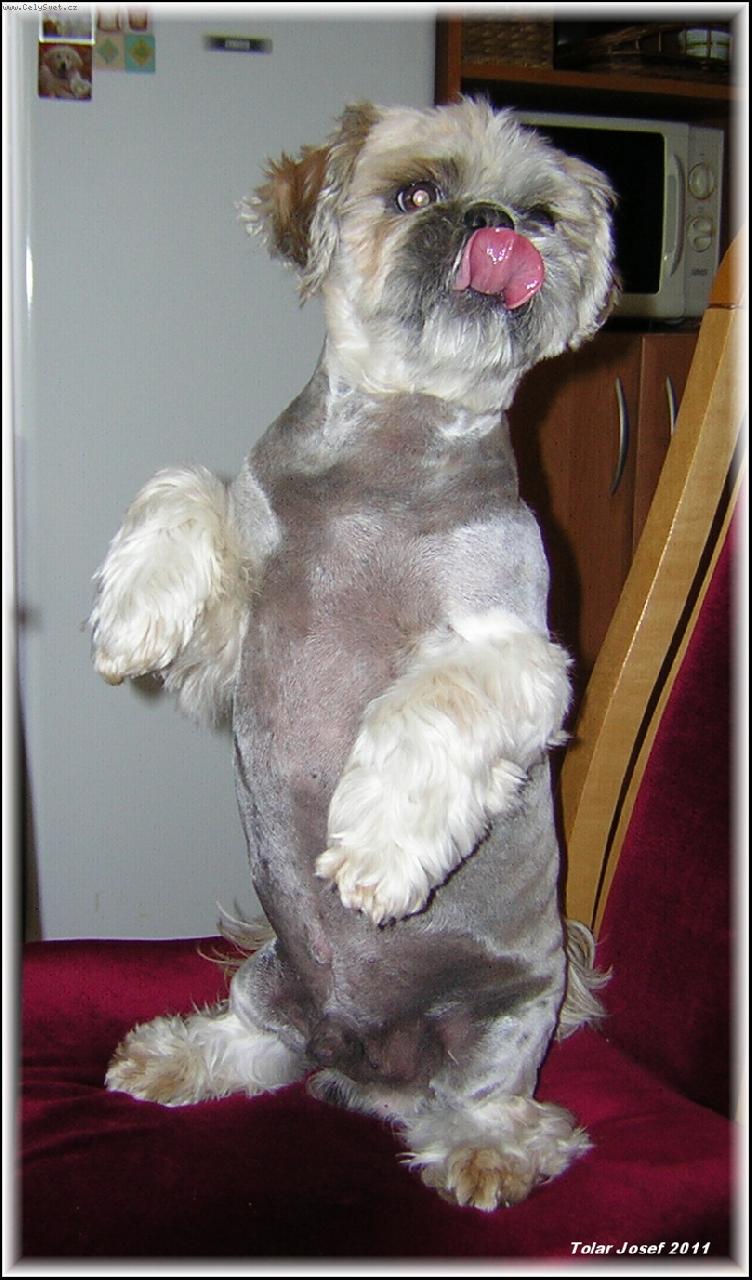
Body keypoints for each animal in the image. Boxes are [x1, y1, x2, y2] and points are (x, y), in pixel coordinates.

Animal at [90, 99, 616, 1211]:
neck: (385, 460)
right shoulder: (231, 651)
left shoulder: (521, 656)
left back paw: (486, 1151)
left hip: (507, 1015)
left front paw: (374, 850)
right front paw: (132, 614)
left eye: (545, 214)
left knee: (492, 1102)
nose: (498, 224)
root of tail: (366, 1064)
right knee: (261, 1045)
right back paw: (179, 1054)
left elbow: (428, 704)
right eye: (415, 192)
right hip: (275, 975)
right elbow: (184, 488)